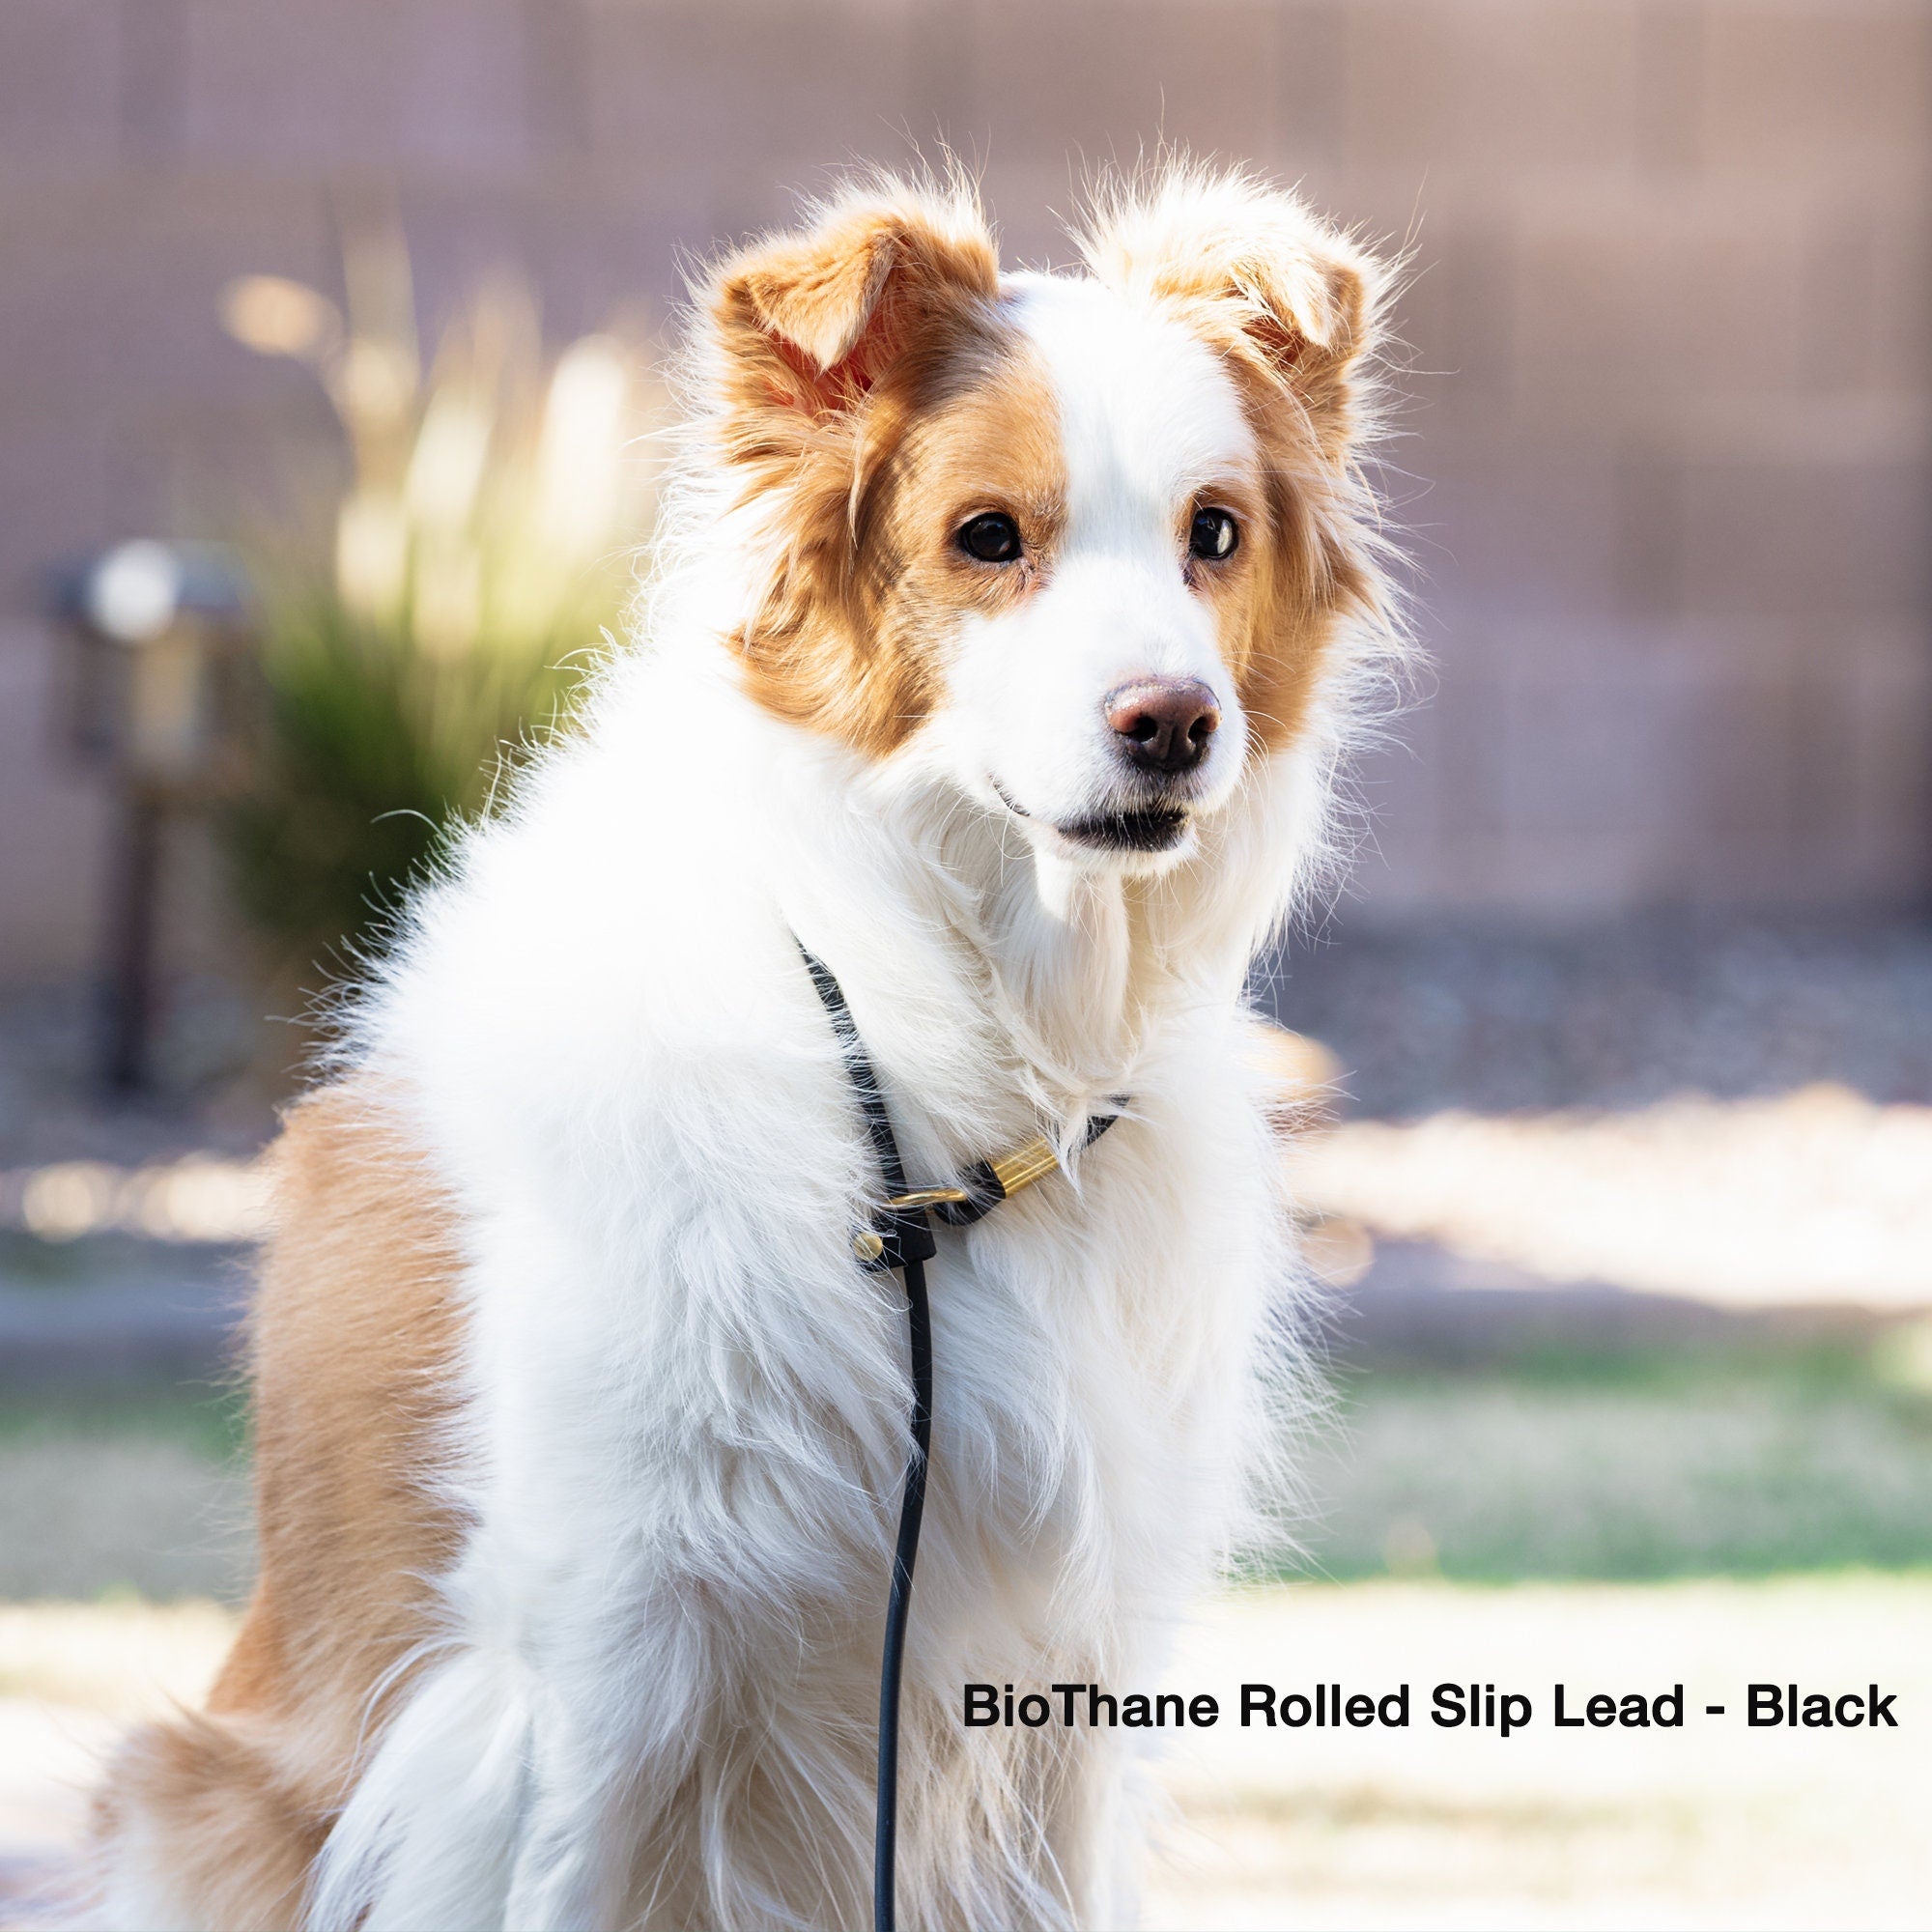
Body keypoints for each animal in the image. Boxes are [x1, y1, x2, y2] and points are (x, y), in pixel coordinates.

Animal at [87, 166, 1391, 1932]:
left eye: (1217, 534)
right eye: (989, 537)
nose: (1175, 725)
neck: (930, 1034)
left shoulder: (1067, 1669)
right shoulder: (597, 1665)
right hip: (206, 1795)